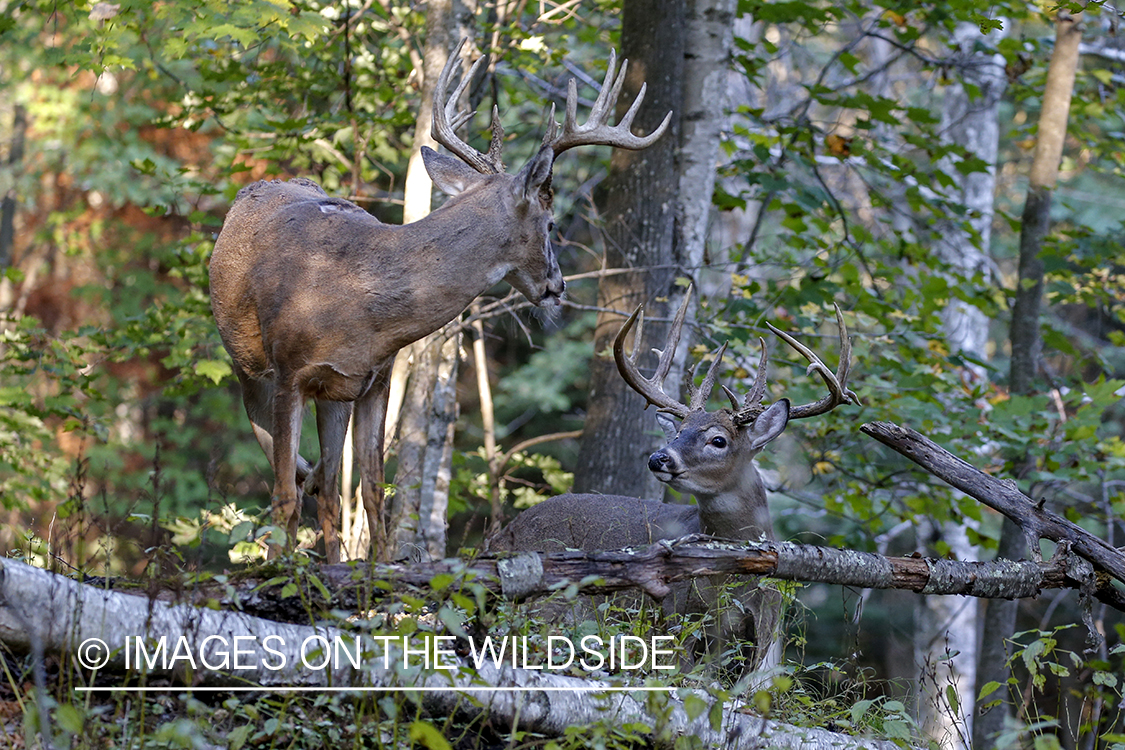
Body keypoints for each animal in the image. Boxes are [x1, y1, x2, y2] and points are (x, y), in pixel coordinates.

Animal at [210, 39, 666, 562]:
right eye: (551, 224)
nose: (559, 285)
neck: (355, 295)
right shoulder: (288, 373)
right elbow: (286, 492)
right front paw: (288, 576)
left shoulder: (376, 380)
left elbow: (372, 491)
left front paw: (376, 577)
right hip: (249, 372)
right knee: (287, 482)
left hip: (334, 396)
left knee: (328, 488)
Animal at [488, 296, 855, 674]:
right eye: (679, 432)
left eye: (718, 440)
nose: (659, 458)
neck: (733, 584)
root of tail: (500, 537)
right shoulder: (673, 616)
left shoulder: (763, 633)